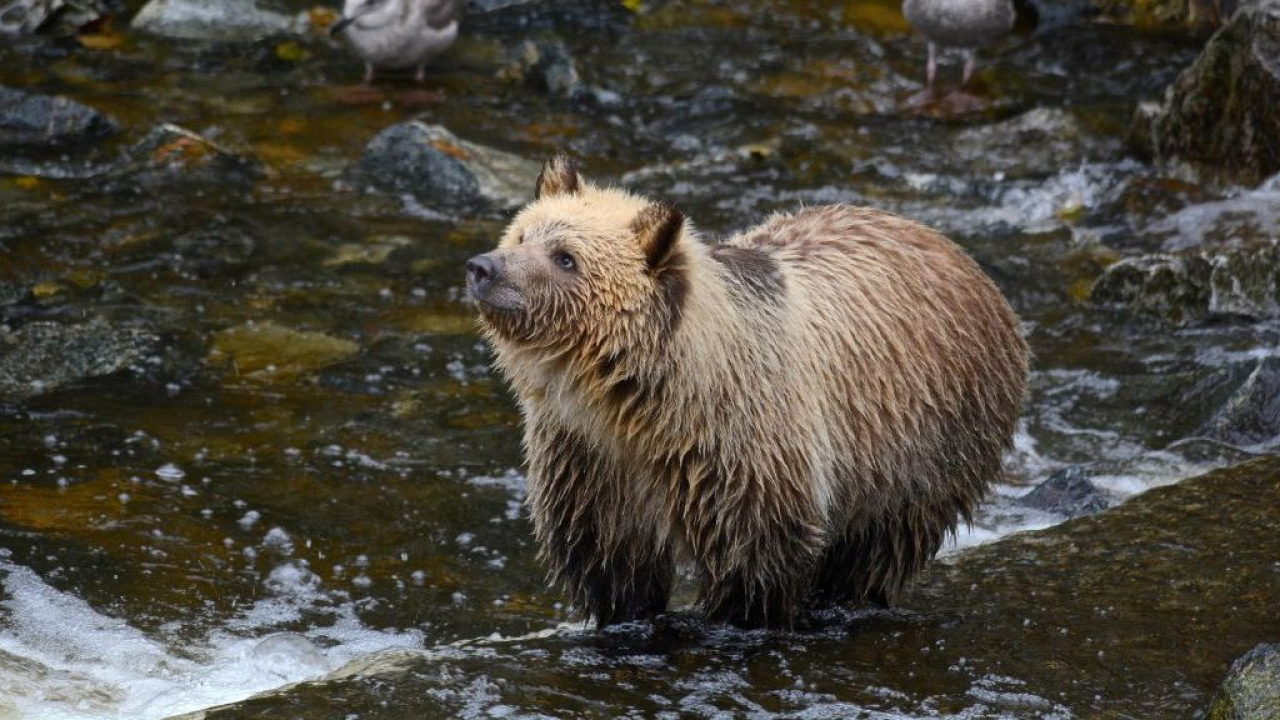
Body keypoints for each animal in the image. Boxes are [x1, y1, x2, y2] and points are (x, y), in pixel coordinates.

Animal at [466, 154, 1029, 628]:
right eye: (521, 233)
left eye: (565, 257)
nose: (483, 268)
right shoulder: (589, 459)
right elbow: (612, 561)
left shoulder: (743, 449)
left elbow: (753, 563)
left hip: (925, 437)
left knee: (880, 542)